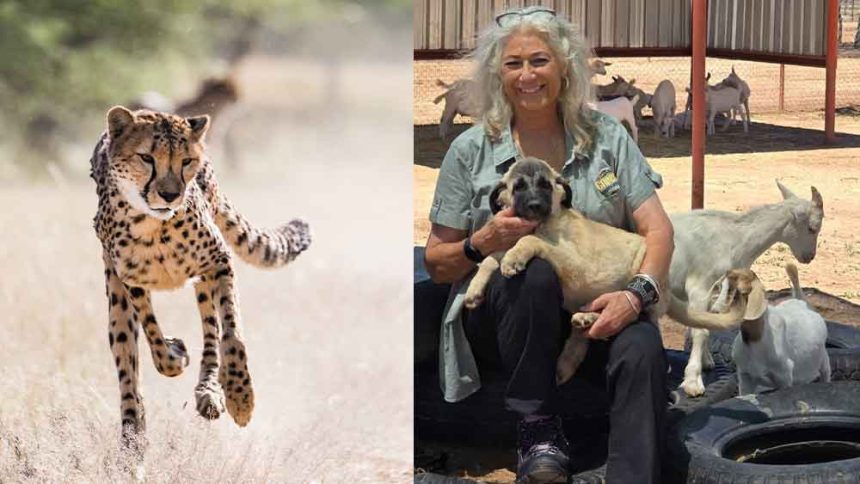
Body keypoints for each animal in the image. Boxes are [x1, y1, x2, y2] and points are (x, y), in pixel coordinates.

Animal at [90, 106, 310, 452]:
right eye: (146, 157)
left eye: (186, 161)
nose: (170, 194)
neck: (154, 226)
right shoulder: (131, 282)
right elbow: (154, 338)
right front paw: (175, 353)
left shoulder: (219, 262)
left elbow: (231, 334)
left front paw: (240, 396)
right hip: (116, 303)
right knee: (128, 366)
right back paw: (132, 439)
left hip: (204, 281)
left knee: (210, 331)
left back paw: (210, 393)